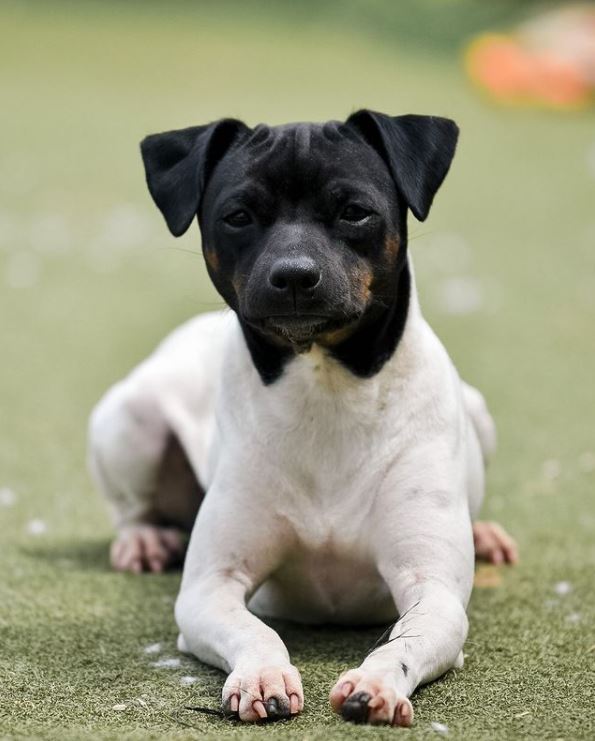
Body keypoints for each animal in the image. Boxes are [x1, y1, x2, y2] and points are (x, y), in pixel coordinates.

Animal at [87, 112, 516, 724]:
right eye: (238, 216)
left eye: (354, 211)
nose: (293, 276)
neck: (325, 395)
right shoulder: (210, 587)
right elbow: (255, 631)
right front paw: (261, 674)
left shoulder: (432, 587)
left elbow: (403, 641)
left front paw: (378, 683)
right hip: (130, 419)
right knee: (132, 506)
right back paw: (143, 540)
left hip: (478, 410)